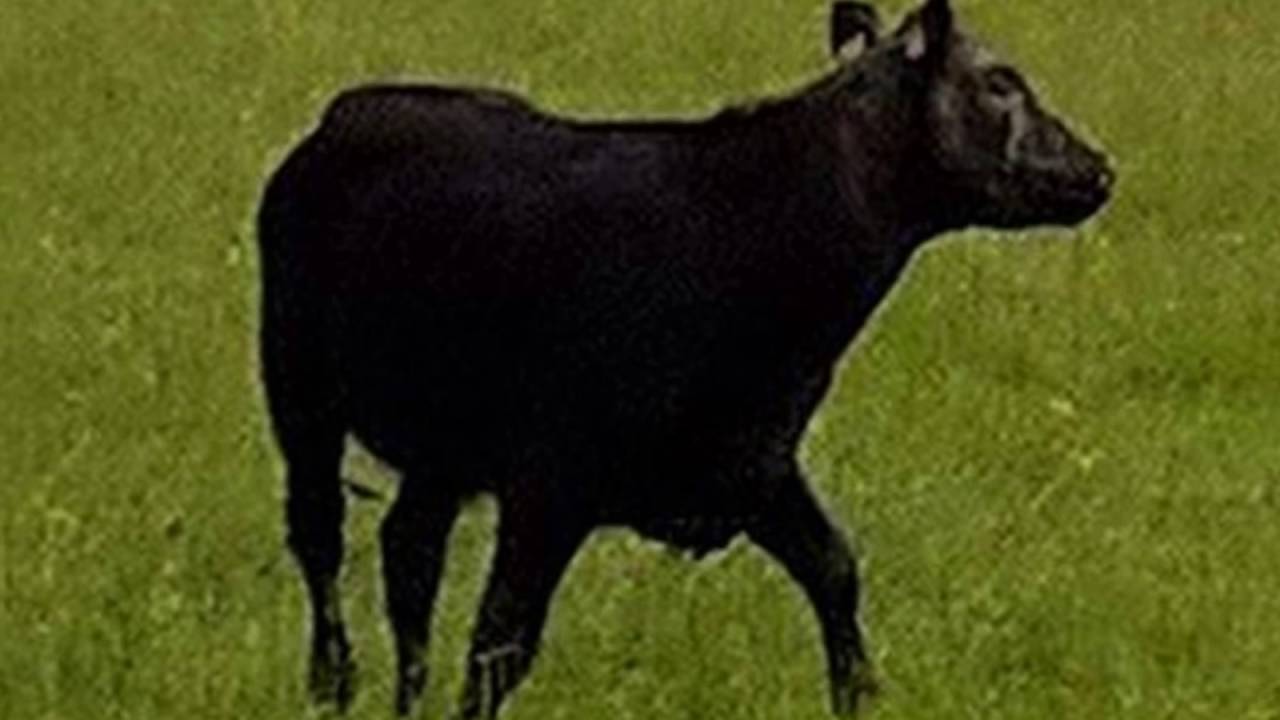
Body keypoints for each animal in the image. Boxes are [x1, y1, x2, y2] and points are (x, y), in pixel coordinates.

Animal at [256, 0, 1113, 716]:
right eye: (1000, 82)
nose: (1098, 167)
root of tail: (346, 114)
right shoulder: (551, 487)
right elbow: (500, 647)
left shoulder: (753, 466)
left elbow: (835, 570)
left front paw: (861, 695)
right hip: (299, 389)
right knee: (321, 535)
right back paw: (332, 683)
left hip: (443, 447)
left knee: (408, 555)